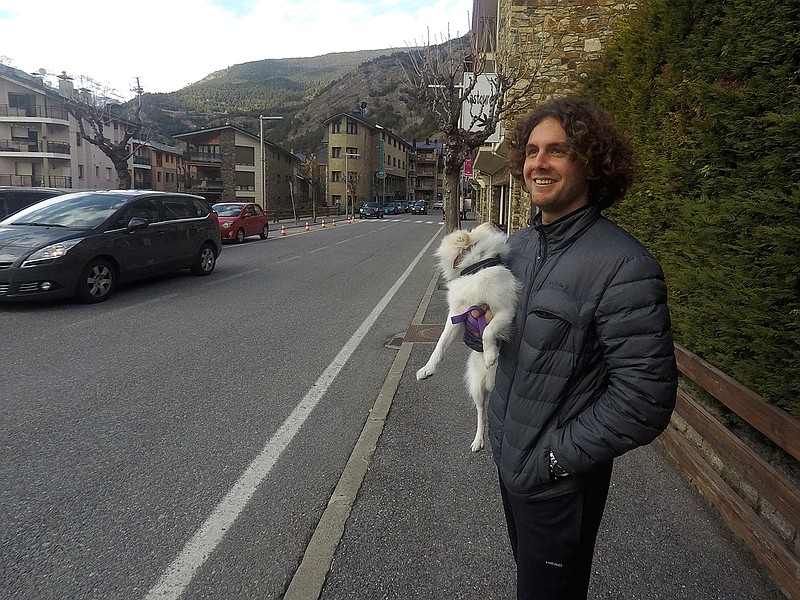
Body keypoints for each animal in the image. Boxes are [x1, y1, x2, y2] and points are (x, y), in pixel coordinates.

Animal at [416, 221, 520, 450]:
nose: (491, 221)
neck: (476, 268)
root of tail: (491, 383)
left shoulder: (506, 311)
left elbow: (488, 331)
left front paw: (490, 355)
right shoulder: (458, 318)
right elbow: (440, 343)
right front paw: (428, 368)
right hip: (477, 388)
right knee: (482, 413)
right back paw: (478, 440)